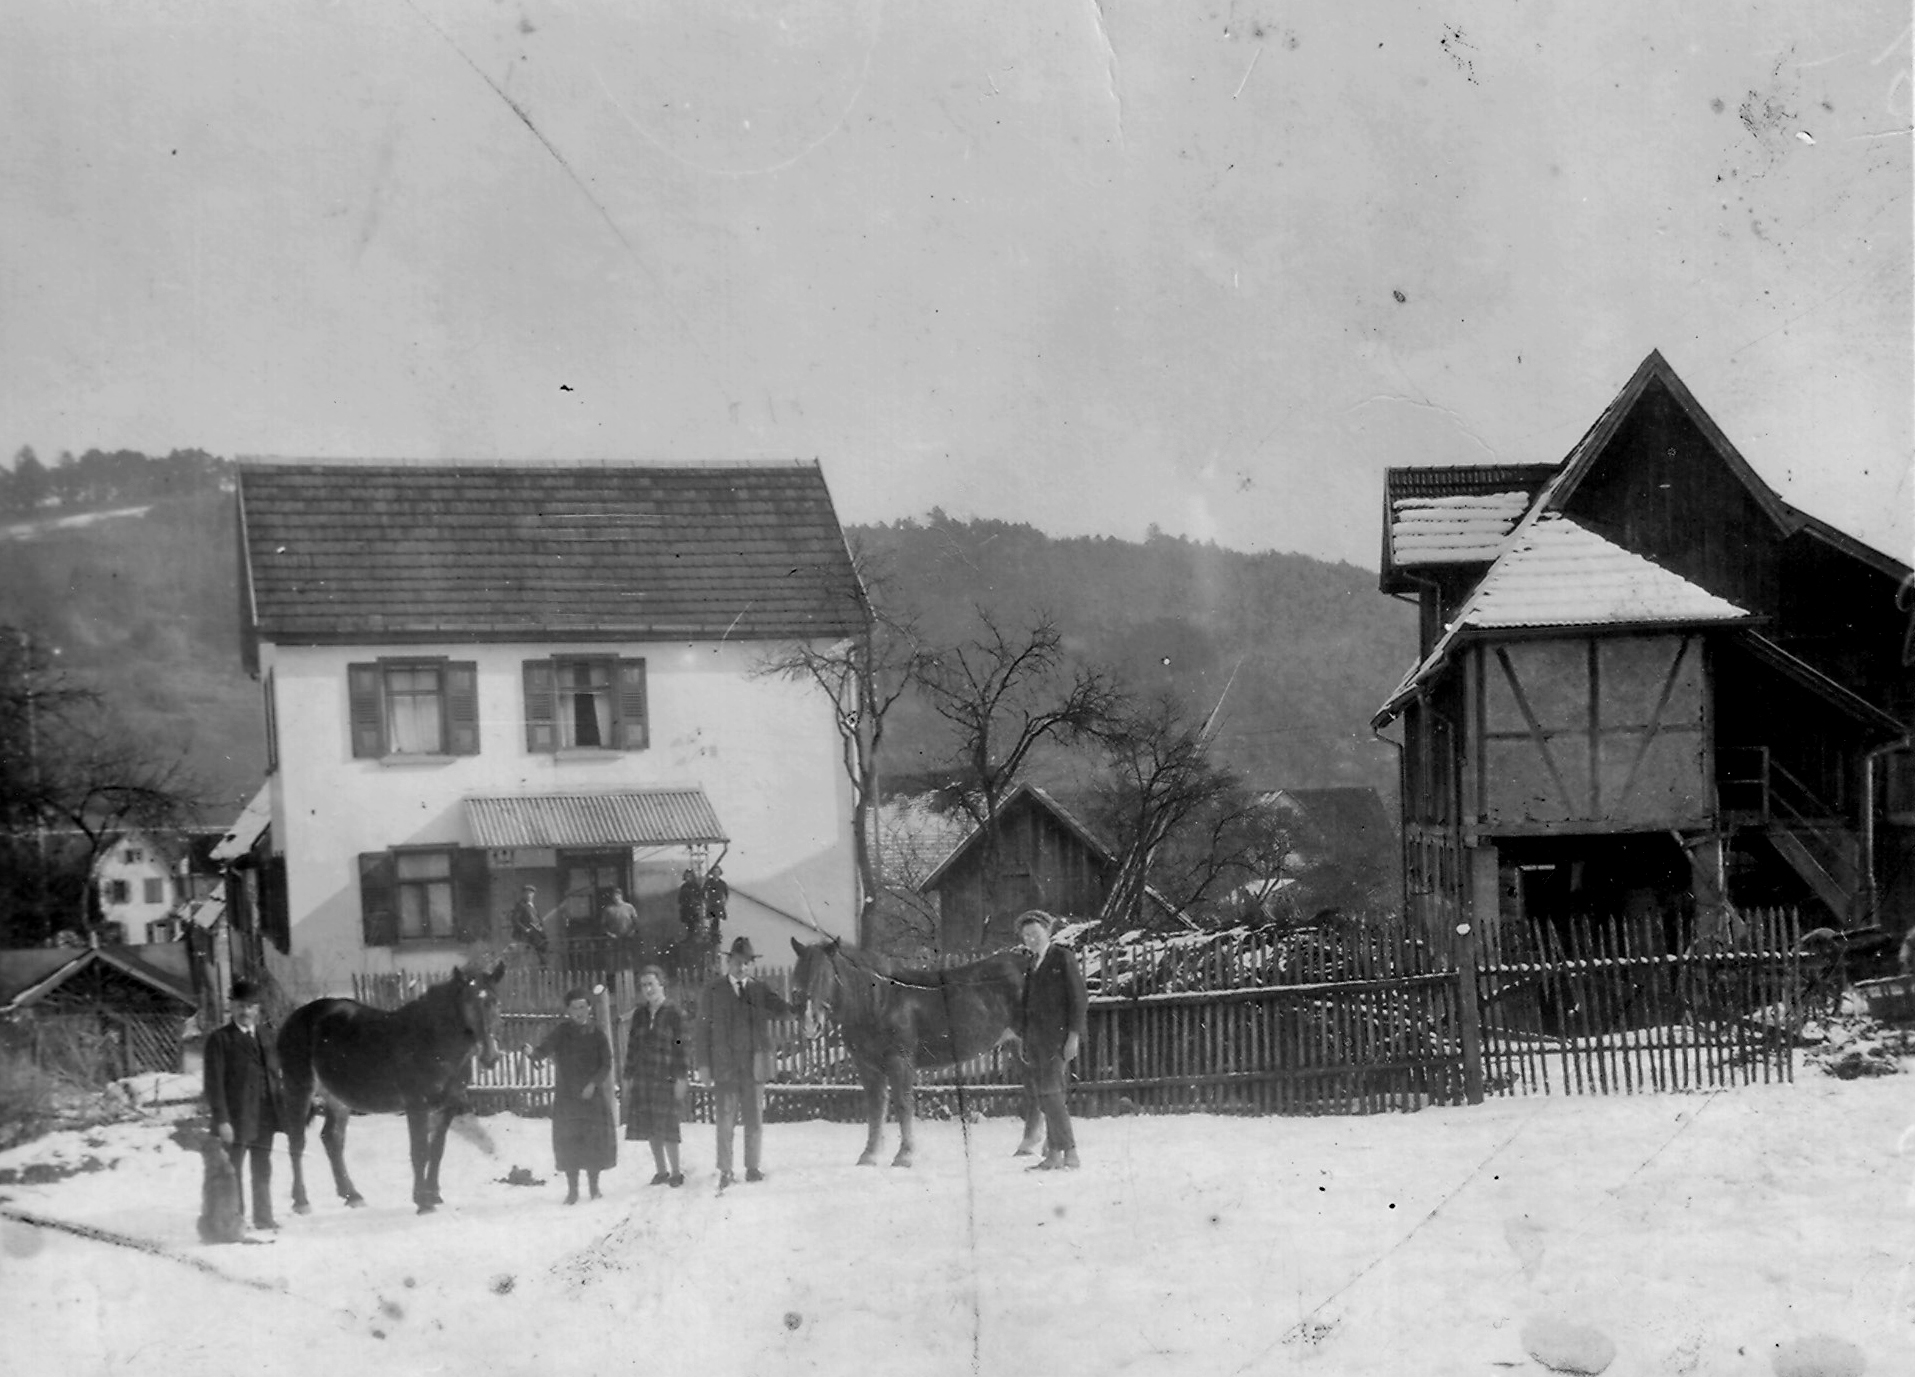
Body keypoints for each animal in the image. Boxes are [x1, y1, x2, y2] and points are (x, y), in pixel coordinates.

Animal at [277, 965, 505, 1210]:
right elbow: (420, 1151)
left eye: (495, 1002)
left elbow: (436, 1150)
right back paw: (301, 1201)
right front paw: (422, 1202)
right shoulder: (417, 1105)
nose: (490, 1056)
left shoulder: (447, 1107)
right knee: (297, 1142)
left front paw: (434, 1195)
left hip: (337, 1098)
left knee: (331, 1139)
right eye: (468, 1003)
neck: (432, 1042)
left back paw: (351, 1195)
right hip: (298, 1088)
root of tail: (293, 1019)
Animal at [788, 938, 1034, 1164]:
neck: (879, 1002)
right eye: (799, 975)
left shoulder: (899, 1061)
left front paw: (904, 1155)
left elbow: (903, 1104)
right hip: (1018, 1047)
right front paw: (869, 1155)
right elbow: (875, 1107)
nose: (810, 1024)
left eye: (825, 976)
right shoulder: (867, 1065)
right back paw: (1027, 1148)